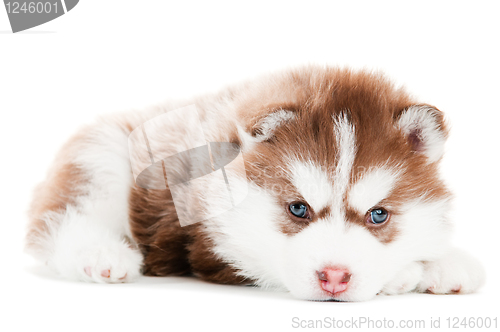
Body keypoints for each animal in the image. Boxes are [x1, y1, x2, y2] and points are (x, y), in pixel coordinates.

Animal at [26, 67, 484, 300]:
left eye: (378, 215)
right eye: (298, 208)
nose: (335, 277)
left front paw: (443, 260)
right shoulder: (211, 243)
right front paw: (403, 274)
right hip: (101, 155)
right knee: (62, 222)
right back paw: (101, 253)